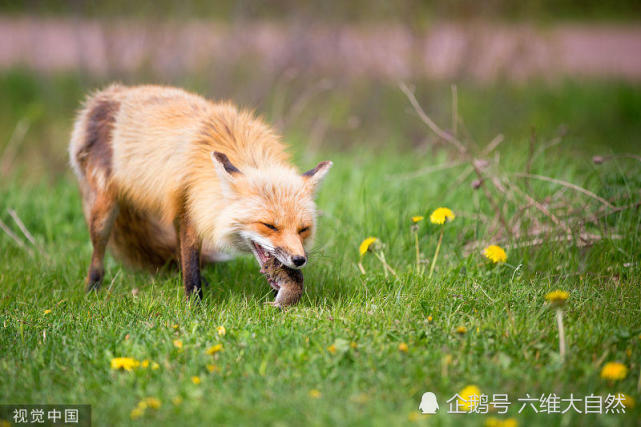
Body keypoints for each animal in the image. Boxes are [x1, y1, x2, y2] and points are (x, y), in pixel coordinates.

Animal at [69, 84, 330, 300]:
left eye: (303, 229)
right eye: (269, 226)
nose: (299, 260)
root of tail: (104, 96)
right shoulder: (194, 209)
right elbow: (192, 266)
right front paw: (195, 306)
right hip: (104, 213)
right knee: (98, 254)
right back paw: (92, 289)